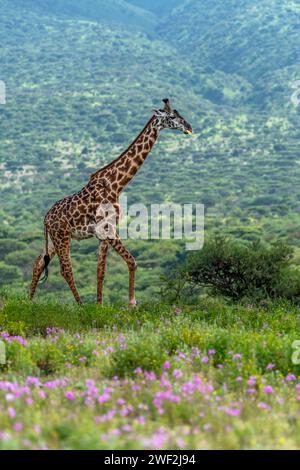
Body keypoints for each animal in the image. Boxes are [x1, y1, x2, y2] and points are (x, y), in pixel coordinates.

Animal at [29, 98, 192, 304]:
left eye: (179, 114)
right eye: (172, 117)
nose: (189, 127)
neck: (116, 184)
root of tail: (45, 218)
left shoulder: (103, 234)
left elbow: (101, 271)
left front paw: (100, 304)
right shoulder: (109, 228)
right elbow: (130, 261)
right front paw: (130, 303)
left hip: (54, 238)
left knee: (38, 263)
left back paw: (29, 301)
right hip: (62, 237)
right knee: (65, 270)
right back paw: (80, 305)